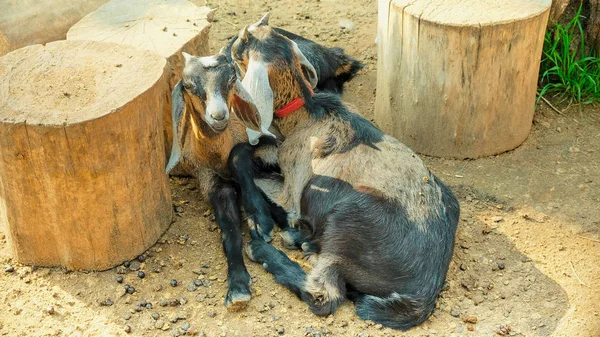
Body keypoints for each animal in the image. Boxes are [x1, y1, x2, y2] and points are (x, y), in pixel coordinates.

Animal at [229, 14, 460, 330]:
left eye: (245, 39)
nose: (229, 43)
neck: (308, 114)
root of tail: (423, 294)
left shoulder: (292, 189)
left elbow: (242, 159)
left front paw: (259, 220)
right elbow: (241, 151)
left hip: (347, 222)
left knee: (324, 295)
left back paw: (268, 248)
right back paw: (302, 240)